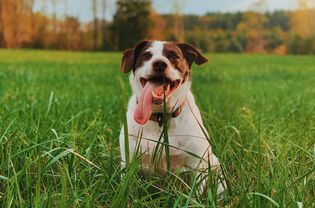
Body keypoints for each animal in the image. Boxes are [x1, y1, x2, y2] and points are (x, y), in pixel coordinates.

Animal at [118, 39, 225, 193]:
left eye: (174, 56)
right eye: (146, 55)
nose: (160, 64)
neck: (160, 117)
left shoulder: (197, 165)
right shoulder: (129, 162)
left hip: (217, 171)